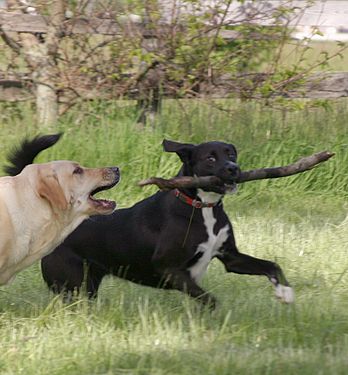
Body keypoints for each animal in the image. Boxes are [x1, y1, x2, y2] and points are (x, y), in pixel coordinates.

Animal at [39, 141, 294, 308]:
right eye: (210, 158)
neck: (202, 207)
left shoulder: (231, 257)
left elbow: (272, 266)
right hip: (71, 285)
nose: (234, 168)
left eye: (231, 153)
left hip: (89, 285)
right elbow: (209, 300)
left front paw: (285, 292)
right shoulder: (168, 268)